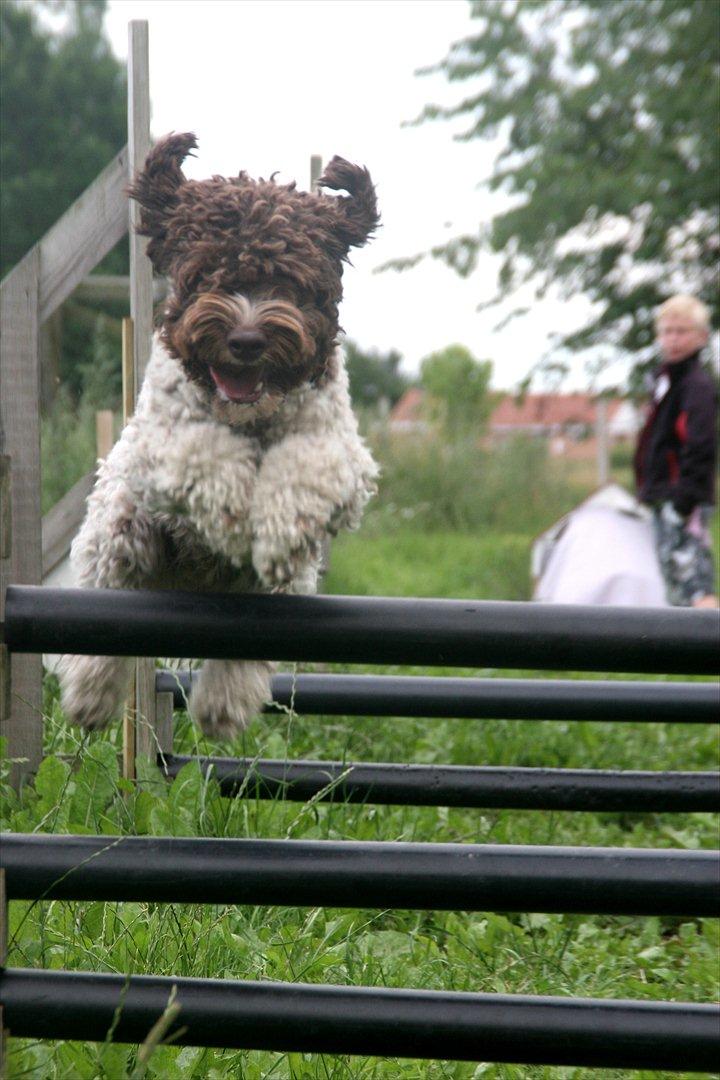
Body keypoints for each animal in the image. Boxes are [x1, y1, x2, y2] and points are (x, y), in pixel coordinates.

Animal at [59, 132, 379, 743]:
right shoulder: (157, 444)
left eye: (291, 281)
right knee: (107, 599)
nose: (247, 340)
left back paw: (222, 706)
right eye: (207, 272)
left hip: (279, 591)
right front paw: (232, 513)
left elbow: (305, 470)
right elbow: (204, 453)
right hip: (122, 531)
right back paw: (90, 693)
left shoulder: (338, 451)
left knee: (247, 642)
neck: (249, 416)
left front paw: (277, 529)